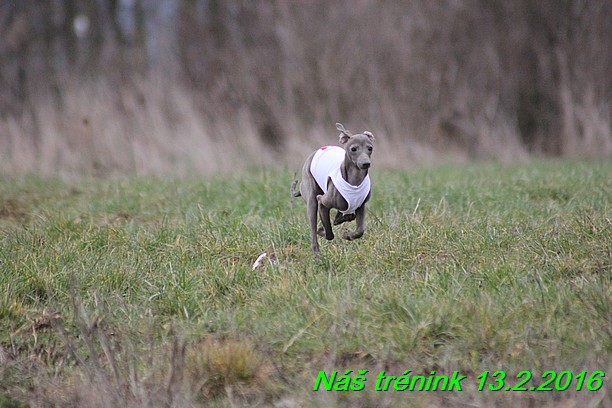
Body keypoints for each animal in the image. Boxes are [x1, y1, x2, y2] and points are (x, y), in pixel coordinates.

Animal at [290, 122, 372, 255]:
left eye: (370, 148)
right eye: (353, 149)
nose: (366, 163)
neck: (354, 183)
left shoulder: (361, 206)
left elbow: (360, 231)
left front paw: (348, 235)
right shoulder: (322, 202)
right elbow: (329, 233)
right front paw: (322, 231)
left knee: (342, 215)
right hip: (311, 199)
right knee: (313, 228)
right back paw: (317, 253)